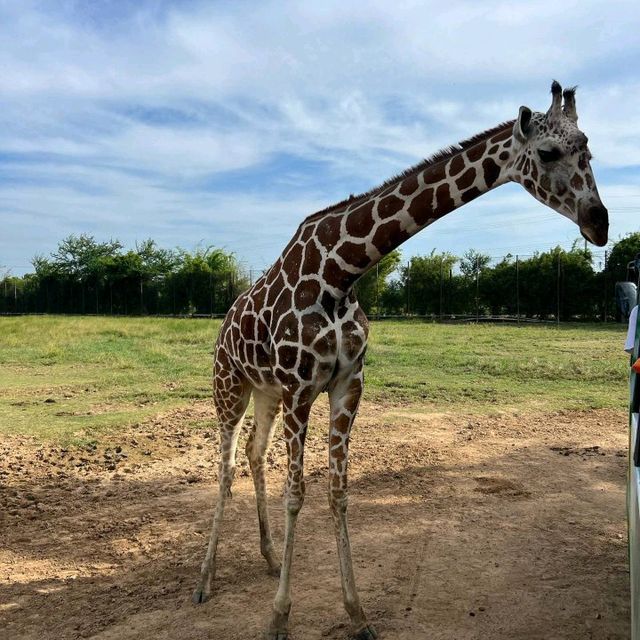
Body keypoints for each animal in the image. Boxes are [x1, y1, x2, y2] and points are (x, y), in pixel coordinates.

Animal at [192, 82, 608, 636]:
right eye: (547, 152)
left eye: (588, 150)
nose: (600, 224)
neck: (341, 272)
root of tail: (223, 325)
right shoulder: (302, 388)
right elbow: (296, 493)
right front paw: (279, 617)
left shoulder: (346, 384)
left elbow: (337, 491)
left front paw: (357, 613)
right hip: (229, 388)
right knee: (227, 468)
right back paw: (205, 580)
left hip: (266, 391)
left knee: (255, 456)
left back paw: (269, 557)